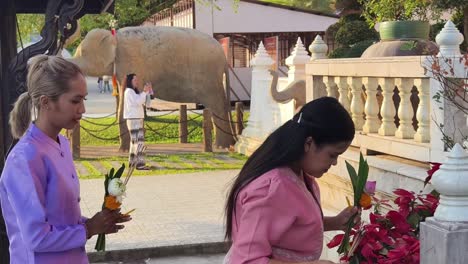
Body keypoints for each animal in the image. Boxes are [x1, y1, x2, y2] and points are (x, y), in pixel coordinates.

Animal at [70, 26, 236, 148]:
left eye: (82, 52)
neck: (114, 36)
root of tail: (223, 57)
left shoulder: (131, 63)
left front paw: (124, 150)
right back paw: (227, 145)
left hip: (209, 78)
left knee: (217, 106)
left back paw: (222, 147)